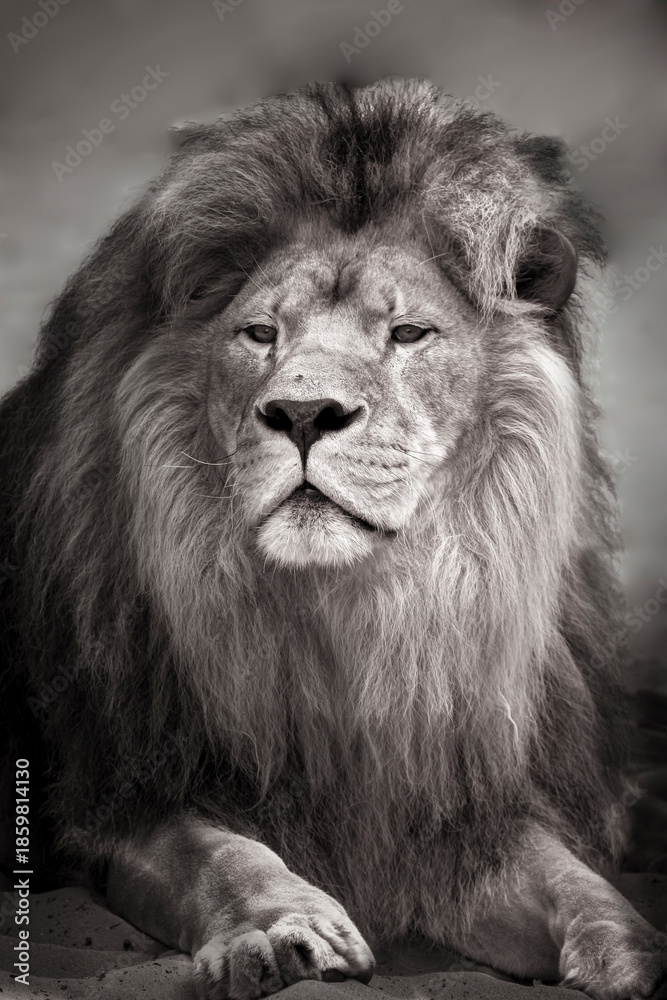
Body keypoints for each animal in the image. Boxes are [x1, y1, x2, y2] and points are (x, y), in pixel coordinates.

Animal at [1, 79, 665, 1000]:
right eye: (260, 334)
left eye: (408, 334)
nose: (303, 411)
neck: (352, 618)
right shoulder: (124, 796)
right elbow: (219, 854)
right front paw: (285, 931)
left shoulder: (457, 814)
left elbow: (576, 880)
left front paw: (633, 950)